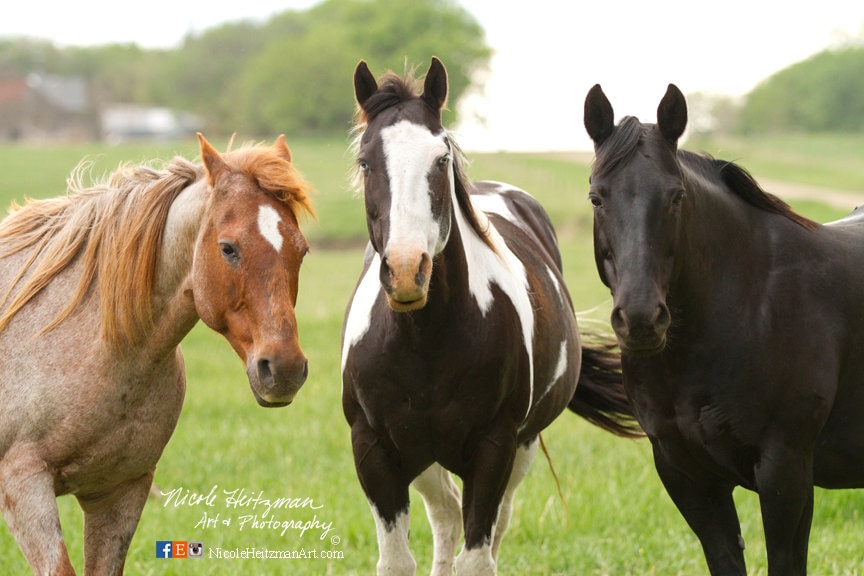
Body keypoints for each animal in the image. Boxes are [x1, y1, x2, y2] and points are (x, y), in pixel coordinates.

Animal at [340, 59, 636, 576]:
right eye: (365, 161)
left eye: (441, 159)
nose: (406, 271)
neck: (424, 343)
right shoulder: (375, 451)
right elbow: (399, 560)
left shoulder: (494, 449)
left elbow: (477, 557)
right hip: (426, 458)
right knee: (445, 514)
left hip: (523, 447)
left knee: (492, 524)